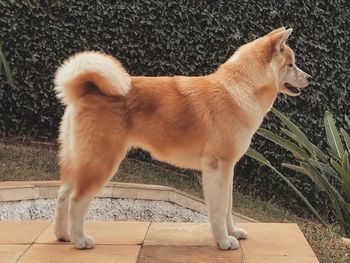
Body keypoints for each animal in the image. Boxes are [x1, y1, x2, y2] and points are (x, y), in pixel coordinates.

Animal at [52, 27, 312, 251]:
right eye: (291, 64)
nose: (309, 77)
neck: (240, 89)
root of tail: (86, 88)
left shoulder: (228, 169)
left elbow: (228, 207)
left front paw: (233, 233)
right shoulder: (217, 168)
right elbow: (218, 210)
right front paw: (223, 242)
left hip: (78, 160)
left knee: (63, 195)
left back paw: (63, 236)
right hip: (101, 162)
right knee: (76, 200)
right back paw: (79, 240)